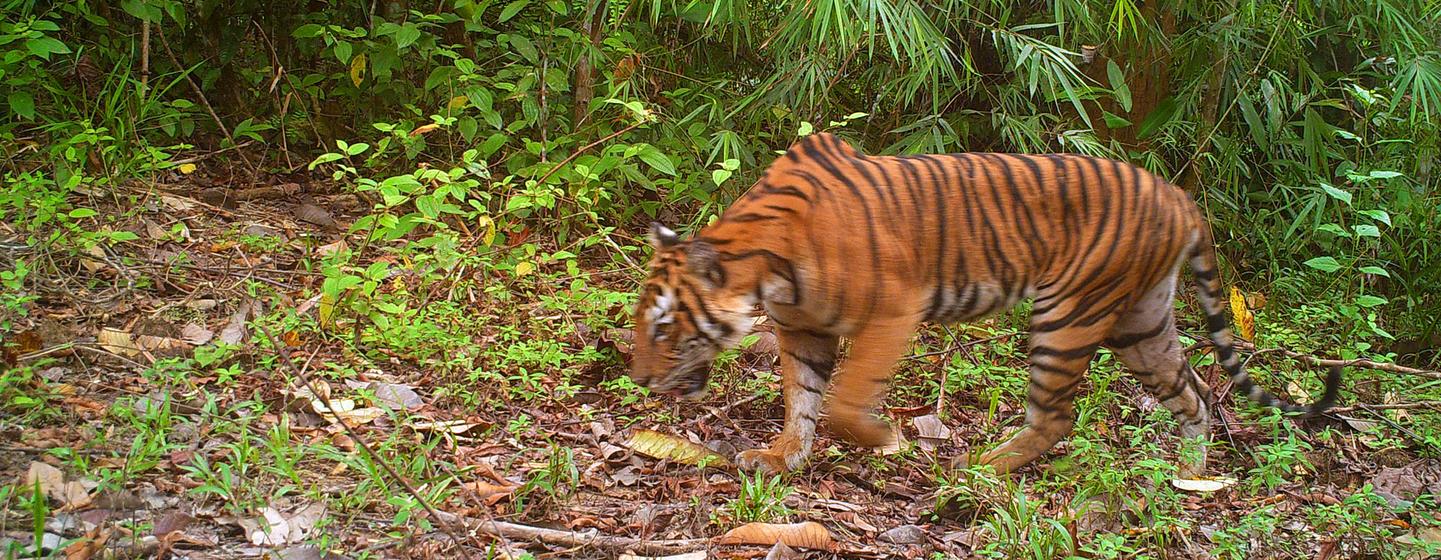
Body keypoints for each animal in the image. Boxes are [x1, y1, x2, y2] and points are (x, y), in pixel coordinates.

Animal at [628, 131, 1337, 475]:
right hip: (1141, 325)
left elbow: (845, 404)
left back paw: (981, 471)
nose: (635, 379)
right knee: (1197, 392)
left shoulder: (893, 311)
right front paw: (781, 458)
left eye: (663, 327)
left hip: (1069, 314)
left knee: (1056, 417)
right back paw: (1188, 475)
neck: (764, 271)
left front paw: (885, 439)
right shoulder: (803, 331)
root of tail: (1177, 194)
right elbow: (802, 402)